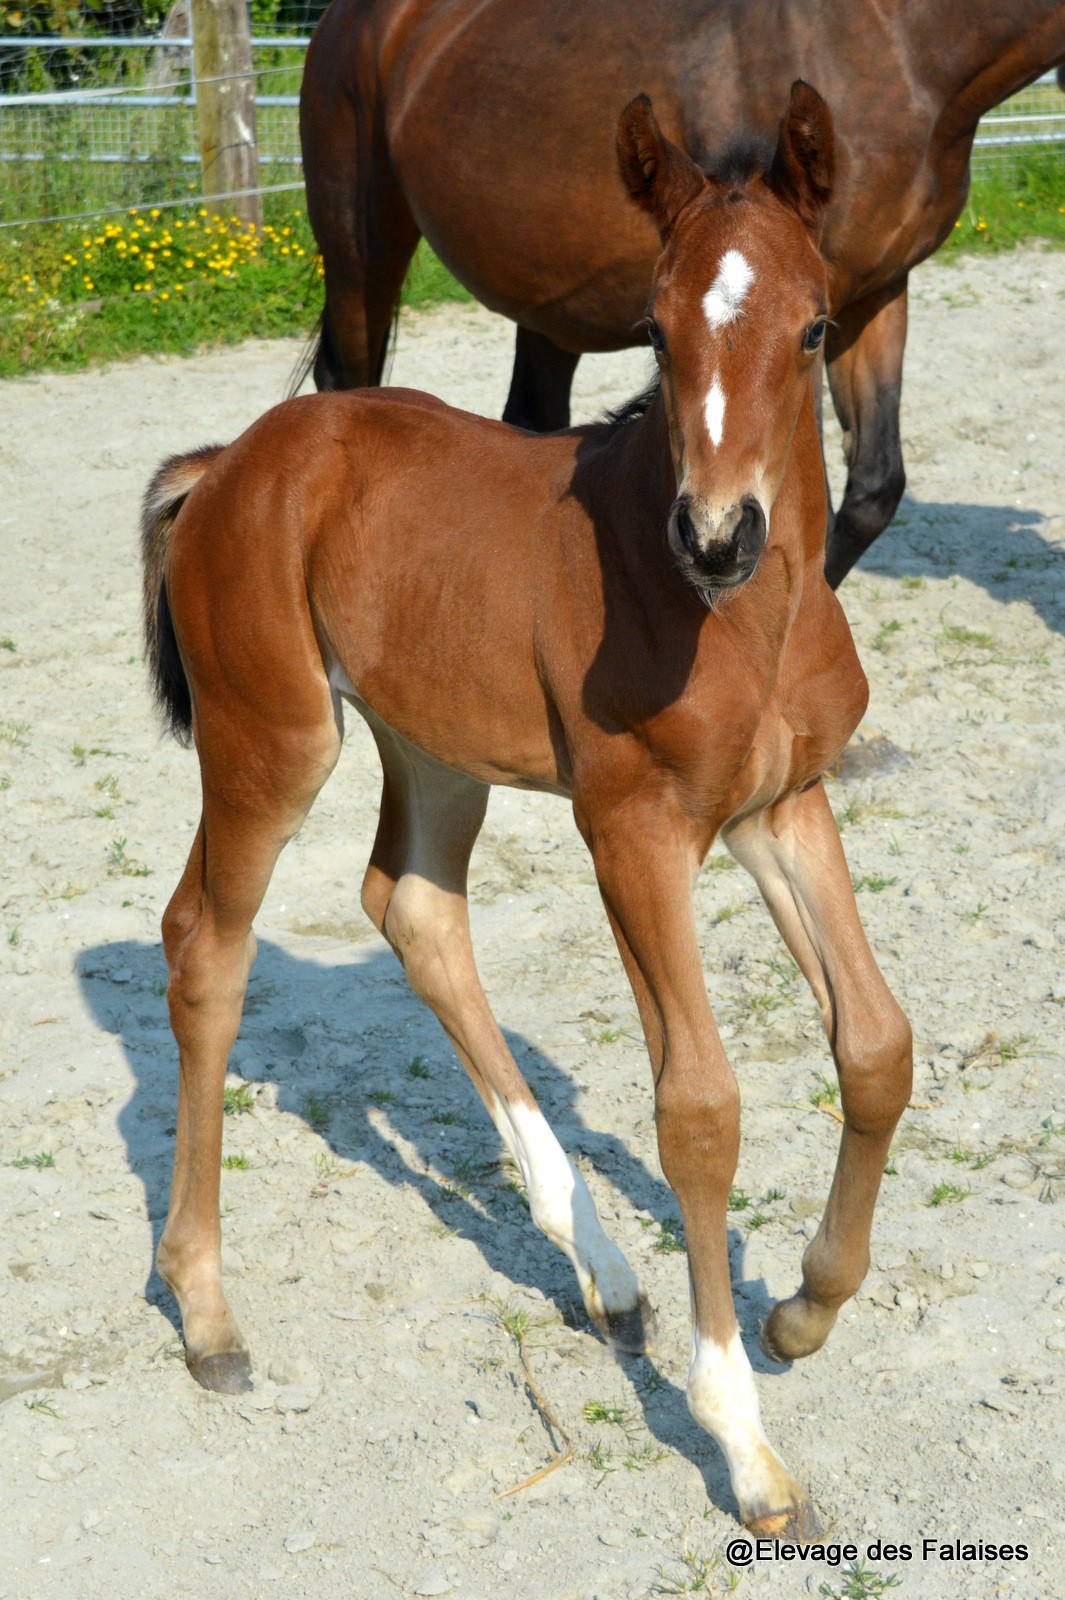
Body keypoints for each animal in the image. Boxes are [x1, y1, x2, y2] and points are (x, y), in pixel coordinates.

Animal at [139, 87, 914, 1536]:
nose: (715, 536)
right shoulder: (634, 831)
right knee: (205, 945)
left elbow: (879, 1046)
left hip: (435, 747)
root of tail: (232, 460)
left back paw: (603, 1272)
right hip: (272, 739)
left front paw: (806, 1308)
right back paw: (208, 1315)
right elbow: (699, 1108)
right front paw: (745, 1441)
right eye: (655, 330)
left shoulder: (783, 808)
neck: (747, 620)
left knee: (412, 907)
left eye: (813, 328)